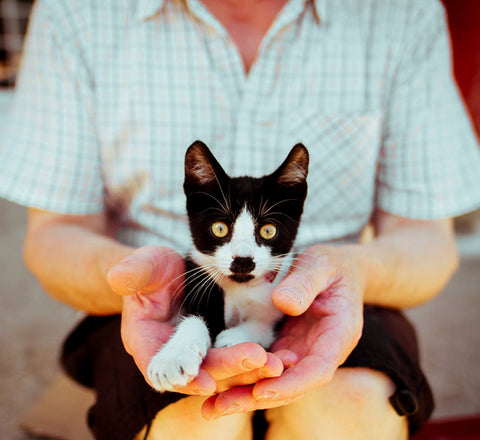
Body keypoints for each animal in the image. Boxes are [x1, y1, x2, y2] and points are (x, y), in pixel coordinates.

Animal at [146, 140, 310, 392]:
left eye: (268, 230)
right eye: (220, 228)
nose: (243, 260)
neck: (241, 286)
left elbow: (266, 323)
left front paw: (233, 337)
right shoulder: (197, 273)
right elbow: (194, 317)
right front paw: (172, 359)